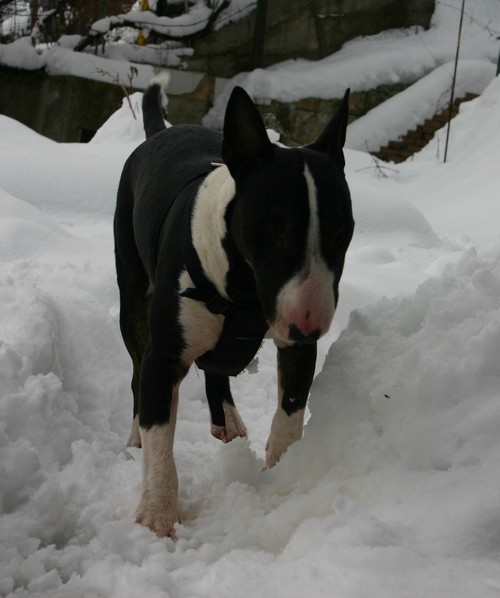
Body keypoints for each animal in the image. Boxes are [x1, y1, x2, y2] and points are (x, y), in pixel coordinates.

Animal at [114, 77, 354, 540]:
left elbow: (290, 412)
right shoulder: (164, 355)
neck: (244, 290)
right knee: (137, 374)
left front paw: (280, 473)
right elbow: (159, 432)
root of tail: (160, 133)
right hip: (132, 293)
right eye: (276, 227)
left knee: (217, 367)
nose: (308, 324)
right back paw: (135, 438)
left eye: (341, 230)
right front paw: (156, 516)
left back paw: (226, 418)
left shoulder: (294, 349)